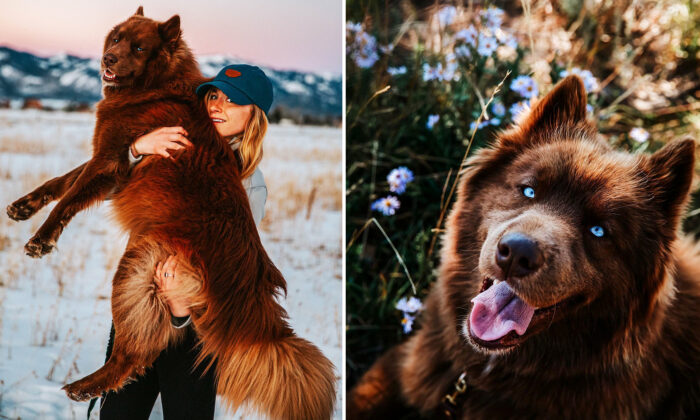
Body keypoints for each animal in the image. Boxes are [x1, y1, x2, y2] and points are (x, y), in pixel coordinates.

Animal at [7, 7, 336, 420]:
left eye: (139, 47)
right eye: (117, 38)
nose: (107, 60)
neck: (157, 84)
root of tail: (248, 292)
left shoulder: (109, 162)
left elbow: (69, 198)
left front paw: (40, 240)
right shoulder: (110, 161)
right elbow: (61, 181)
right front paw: (23, 207)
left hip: (137, 269)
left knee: (134, 355)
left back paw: (86, 386)